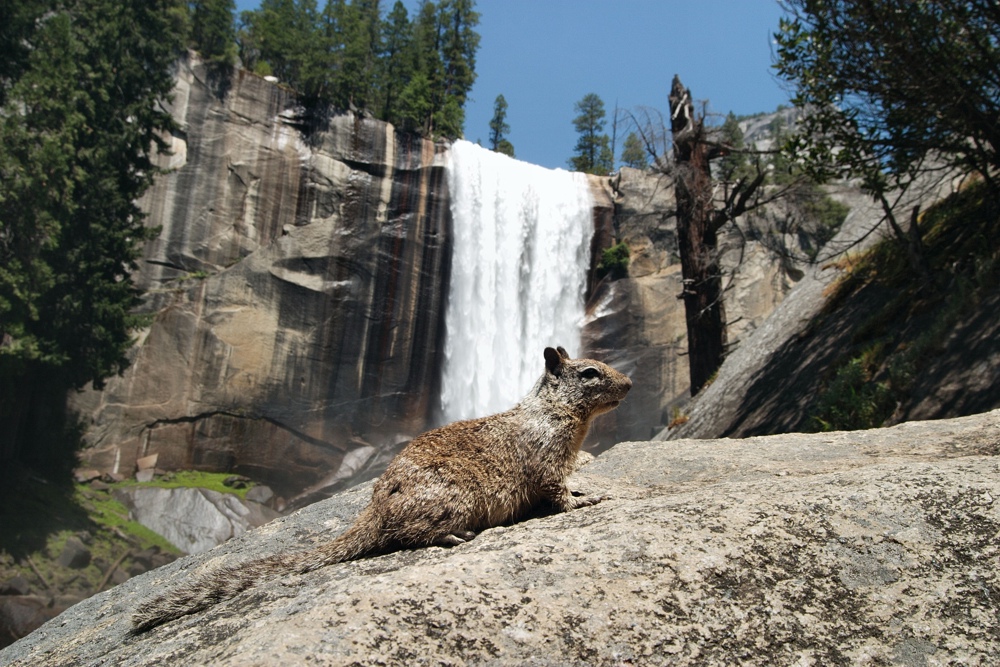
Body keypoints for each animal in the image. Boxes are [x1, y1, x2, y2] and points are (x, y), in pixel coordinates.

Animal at [131, 348, 632, 636]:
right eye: (589, 373)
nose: (629, 384)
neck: (554, 413)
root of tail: (372, 511)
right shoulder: (546, 464)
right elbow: (557, 494)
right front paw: (586, 500)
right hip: (452, 502)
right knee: (401, 536)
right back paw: (450, 536)